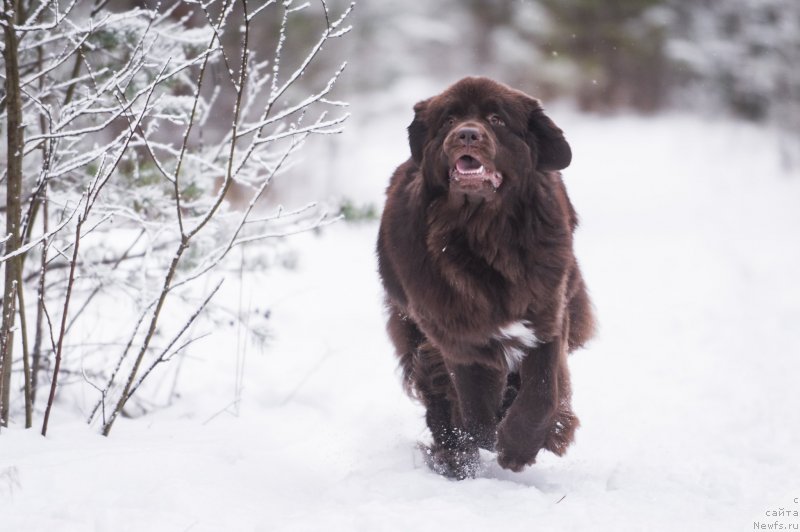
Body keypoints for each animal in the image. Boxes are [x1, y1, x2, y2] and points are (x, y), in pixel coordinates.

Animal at [376, 77, 592, 480]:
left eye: (496, 119)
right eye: (448, 120)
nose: (467, 134)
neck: (484, 232)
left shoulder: (547, 311)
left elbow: (543, 389)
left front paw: (520, 446)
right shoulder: (453, 332)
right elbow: (474, 408)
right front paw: (487, 439)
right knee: (441, 397)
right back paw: (453, 458)